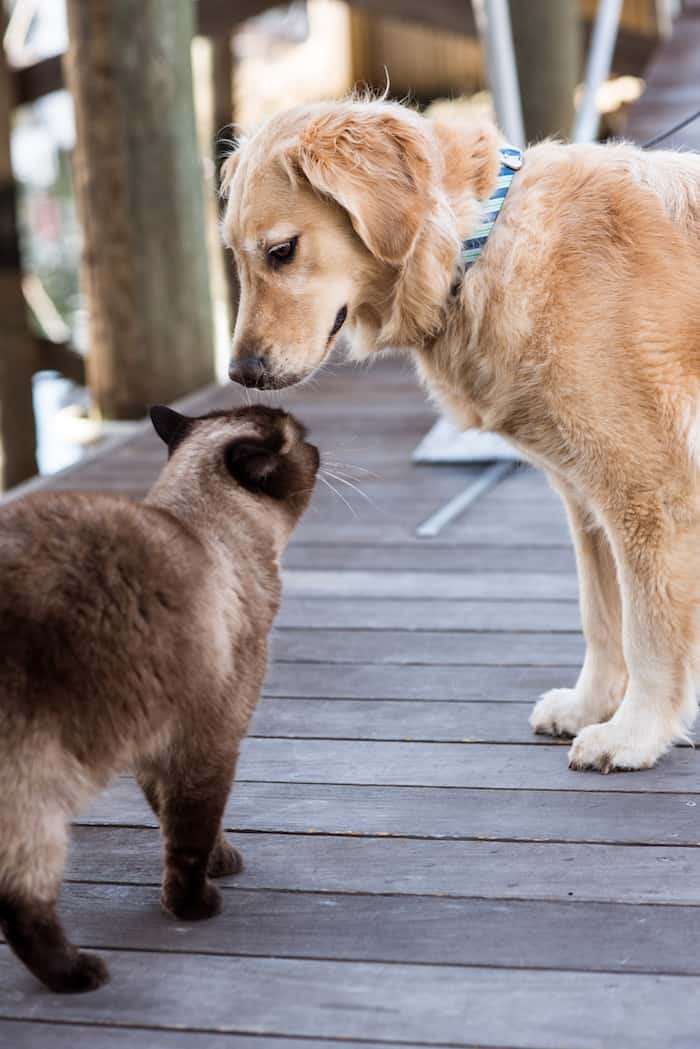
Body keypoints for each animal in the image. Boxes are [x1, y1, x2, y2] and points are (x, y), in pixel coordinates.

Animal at [0, 400, 316, 990]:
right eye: (302, 441)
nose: (317, 446)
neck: (208, 523)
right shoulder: (209, 742)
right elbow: (190, 834)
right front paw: (194, 907)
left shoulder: (156, 746)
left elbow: (177, 820)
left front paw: (222, 862)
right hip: (36, 784)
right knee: (22, 897)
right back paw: (77, 974)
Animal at [220, 96, 700, 772]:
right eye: (234, 256)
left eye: (282, 251)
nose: (241, 373)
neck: (480, 244)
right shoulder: (587, 501)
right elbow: (602, 618)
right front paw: (590, 706)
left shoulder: (649, 495)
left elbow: (648, 632)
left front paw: (633, 734)